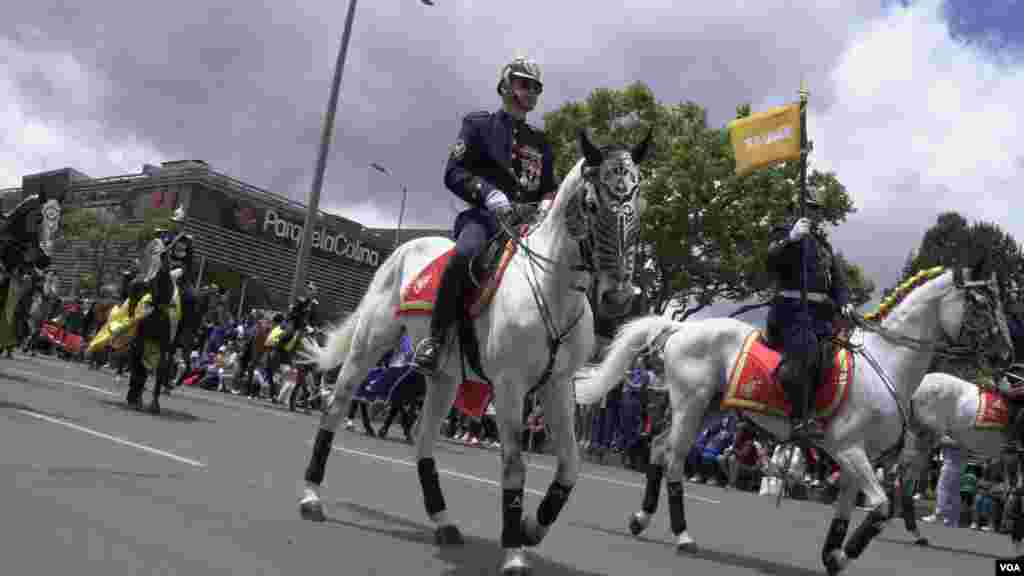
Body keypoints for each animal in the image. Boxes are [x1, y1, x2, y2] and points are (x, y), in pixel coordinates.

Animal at [292, 130, 651, 573]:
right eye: (592, 204)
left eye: (638, 203)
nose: (619, 297)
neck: (552, 288)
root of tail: (403, 248)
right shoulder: (511, 386)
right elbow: (514, 466)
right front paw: (514, 550)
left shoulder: (557, 386)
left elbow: (570, 465)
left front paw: (532, 527)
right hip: (369, 345)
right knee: (335, 407)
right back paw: (311, 496)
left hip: (445, 378)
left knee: (423, 439)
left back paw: (444, 520)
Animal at [573, 264, 1011, 573]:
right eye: (981, 304)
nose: (1006, 355)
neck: (886, 363)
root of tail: (679, 327)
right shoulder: (849, 449)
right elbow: (880, 508)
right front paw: (842, 557)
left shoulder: (856, 458)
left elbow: (845, 513)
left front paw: (833, 555)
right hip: (690, 405)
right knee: (674, 458)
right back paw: (682, 535)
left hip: (708, 408)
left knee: (660, 448)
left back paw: (641, 518)